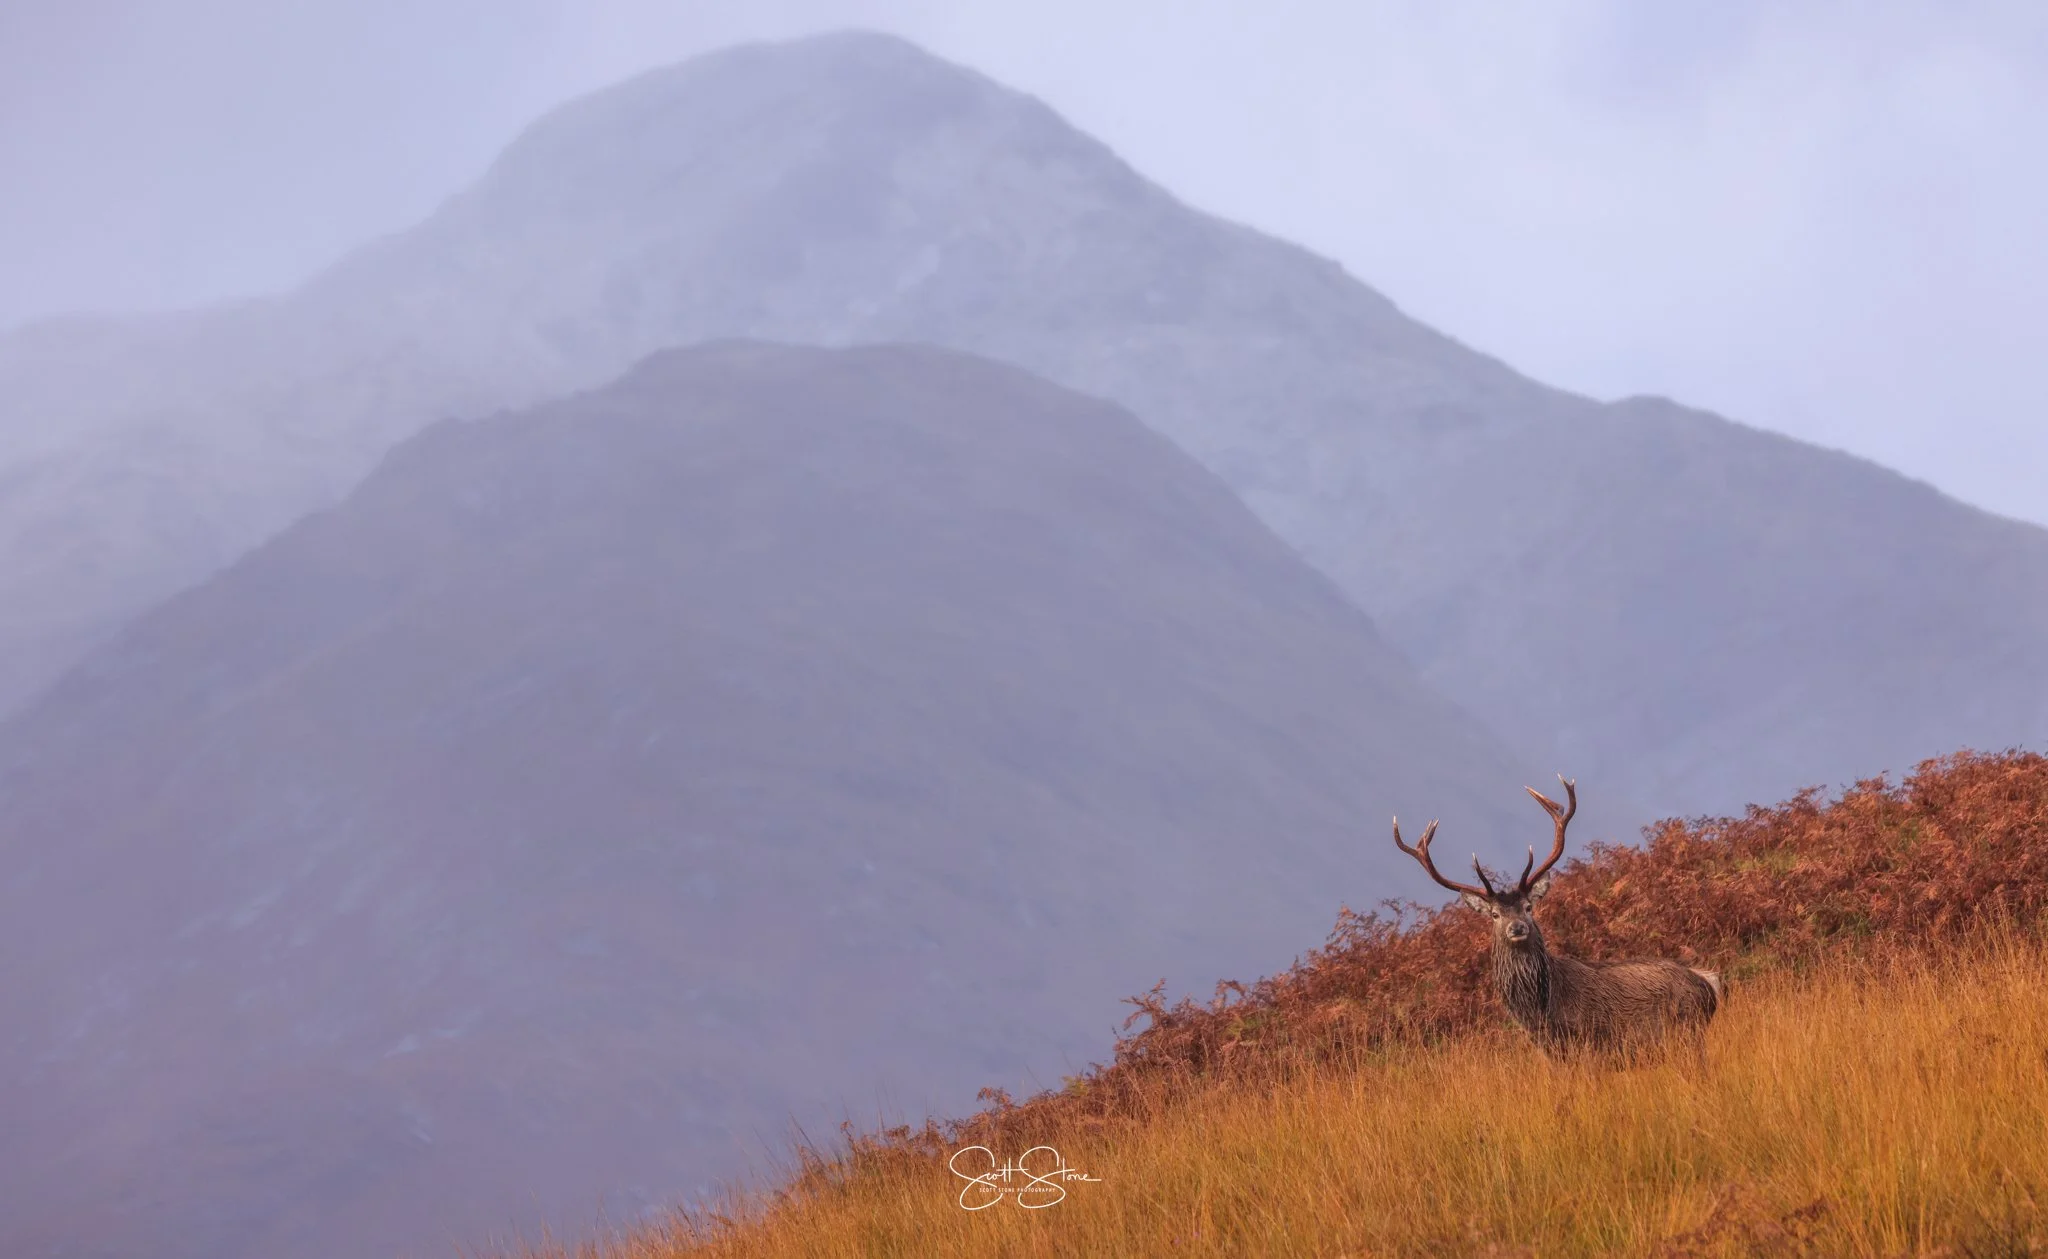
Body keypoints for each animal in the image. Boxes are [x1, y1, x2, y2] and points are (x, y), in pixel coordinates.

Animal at [1393, 776, 1721, 1064]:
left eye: (1528, 907)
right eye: (1495, 914)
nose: (1517, 928)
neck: (1541, 1013)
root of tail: (1709, 984)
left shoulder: (1590, 1044)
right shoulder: (1551, 1053)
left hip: (1687, 1032)